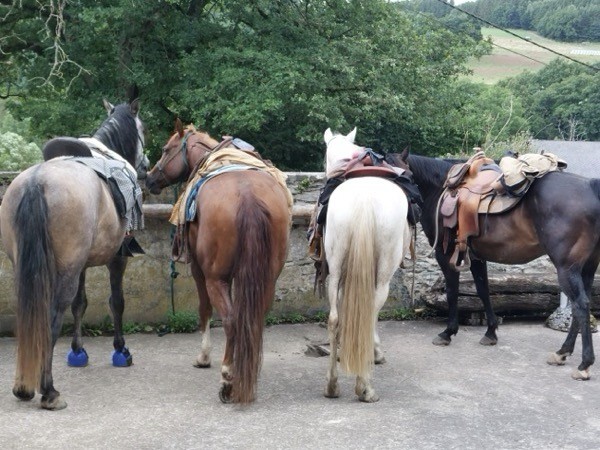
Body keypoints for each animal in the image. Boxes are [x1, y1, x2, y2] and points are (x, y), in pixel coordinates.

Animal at [0, 96, 148, 410]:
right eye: (143, 129)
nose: (146, 165)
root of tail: (37, 181)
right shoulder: (116, 258)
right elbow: (116, 302)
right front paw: (121, 350)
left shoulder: (81, 264)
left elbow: (81, 303)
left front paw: (78, 350)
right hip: (65, 270)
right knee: (53, 317)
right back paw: (48, 390)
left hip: (31, 268)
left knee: (30, 315)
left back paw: (23, 385)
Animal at [145, 119, 291, 403]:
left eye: (166, 149)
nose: (150, 178)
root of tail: (248, 196)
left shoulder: (199, 270)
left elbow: (204, 310)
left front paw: (203, 357)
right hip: (267, 278)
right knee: (253, 319)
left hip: (215, 278)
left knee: (231, 321)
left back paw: (227, 378)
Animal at [321, 128, 411, 402]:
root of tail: (364, 198)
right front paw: (375, 352)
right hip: (383, 276)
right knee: (370, 313)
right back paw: (365, 387)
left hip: (336, 267)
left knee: (334, 319)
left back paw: (332, 385)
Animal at [386, 152, 600, 380]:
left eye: (407, 177)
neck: (439, 188)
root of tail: (590, 187)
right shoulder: (477, 258)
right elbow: (483, 291)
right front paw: (490, 332)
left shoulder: (445, 255)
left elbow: (452, 292)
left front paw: (448, 332)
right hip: (586, 268)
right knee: (583, 303)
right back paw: (562, 352)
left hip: (567, 268)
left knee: (580, 305)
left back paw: (583, 364)